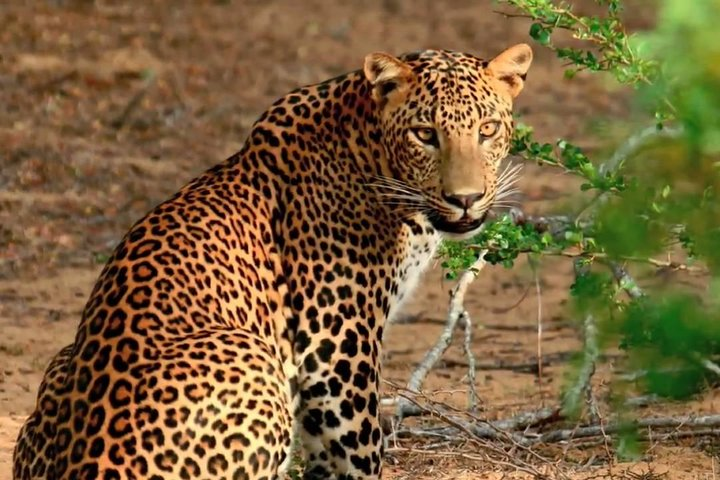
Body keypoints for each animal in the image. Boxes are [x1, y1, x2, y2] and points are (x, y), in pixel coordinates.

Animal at [9, 43, 528, 478]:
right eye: (425, 134)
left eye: (487, 130)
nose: (465, 199)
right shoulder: (336, 341)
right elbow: (360, 447)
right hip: (254, 359)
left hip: (61, 359)